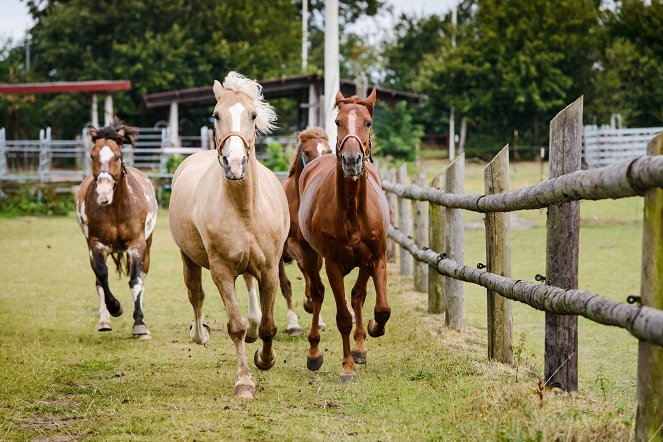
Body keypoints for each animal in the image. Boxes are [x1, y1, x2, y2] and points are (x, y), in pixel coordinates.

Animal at [75, 117, 158, 338]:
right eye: (92, 155)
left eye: (118, 156)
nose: (103, 192)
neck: (116, 209)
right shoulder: (96, 245)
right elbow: (102, 276)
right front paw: (114, 307)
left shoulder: (137, 245)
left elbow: (136, 281)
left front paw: (139, 323)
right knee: (99, 281)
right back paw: (104, 321)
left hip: (147, 246)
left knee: (142, 277)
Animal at [169, 71, 288, 398]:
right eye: (216, 115)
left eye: (253, 115)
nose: (234, 164)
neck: (244, 208)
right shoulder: (221, 271)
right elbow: (235, 326)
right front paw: (244, 382)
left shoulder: (270, 269)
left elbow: (269, 324)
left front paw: (265, 359)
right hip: (188, 259)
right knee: (195, 295)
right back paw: (200, 333)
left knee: (252, 300)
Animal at [278, 126, 332, 336]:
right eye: (307, 152)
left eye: (329, 150)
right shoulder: (291, 244)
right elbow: (303, 266)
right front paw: (307, 302)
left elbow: (315, 269)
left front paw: (312, 306)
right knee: (285, 285)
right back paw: (293, 325)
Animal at [300, 88, 392, 382]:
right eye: (338, 122)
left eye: (368, 123)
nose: (352, 160)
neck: (352, 210)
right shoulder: (332, 265)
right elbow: (342, 317)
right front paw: (347, 368)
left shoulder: (377, 258)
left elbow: (381, 308)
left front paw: (373, 329)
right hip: (309, 253)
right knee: (317, 294)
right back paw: (314, 353)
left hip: (364, 263)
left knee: (358, 295)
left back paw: (361, 345)